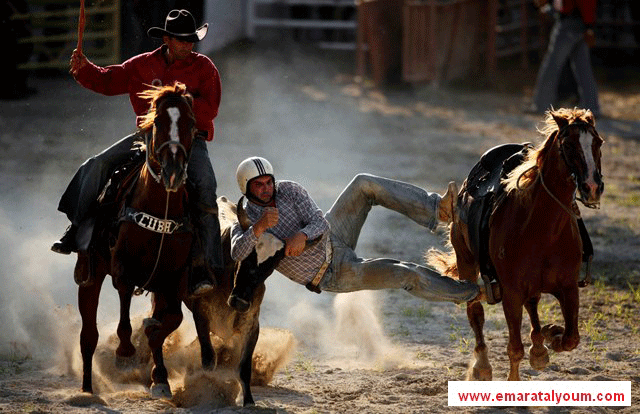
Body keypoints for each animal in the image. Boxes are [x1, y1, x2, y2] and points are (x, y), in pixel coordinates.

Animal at [76, 81, 216, 398]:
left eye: (191, 123)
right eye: (158, 123)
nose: (173, 171)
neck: (158, 209)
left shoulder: (174, 278)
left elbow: (170, 321)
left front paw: (160, 375)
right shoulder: (122, 267)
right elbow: (125, 297)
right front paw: (126, 351)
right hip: (90, 277)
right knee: (88, 335)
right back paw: (87, 388)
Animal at [428, 108, 604, 380]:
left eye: (598, 143)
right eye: (568, 145)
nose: (592, 187)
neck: (543, 228)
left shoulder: (568, 287)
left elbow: (571, 338)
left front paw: (551, 336)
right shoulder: (511, 292)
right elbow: (515, 349)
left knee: (532, 305)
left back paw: (539, 347)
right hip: (466, 262)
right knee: (475, 312)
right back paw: (482, 366)